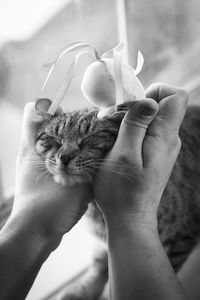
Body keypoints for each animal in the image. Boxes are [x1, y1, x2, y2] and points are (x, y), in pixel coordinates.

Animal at [36, 104, 200, 298]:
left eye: (90, 138)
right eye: (54, 139)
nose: (64, 157)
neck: (98, 213)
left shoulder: (179, 240)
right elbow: (99, 262)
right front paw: (85, 290)